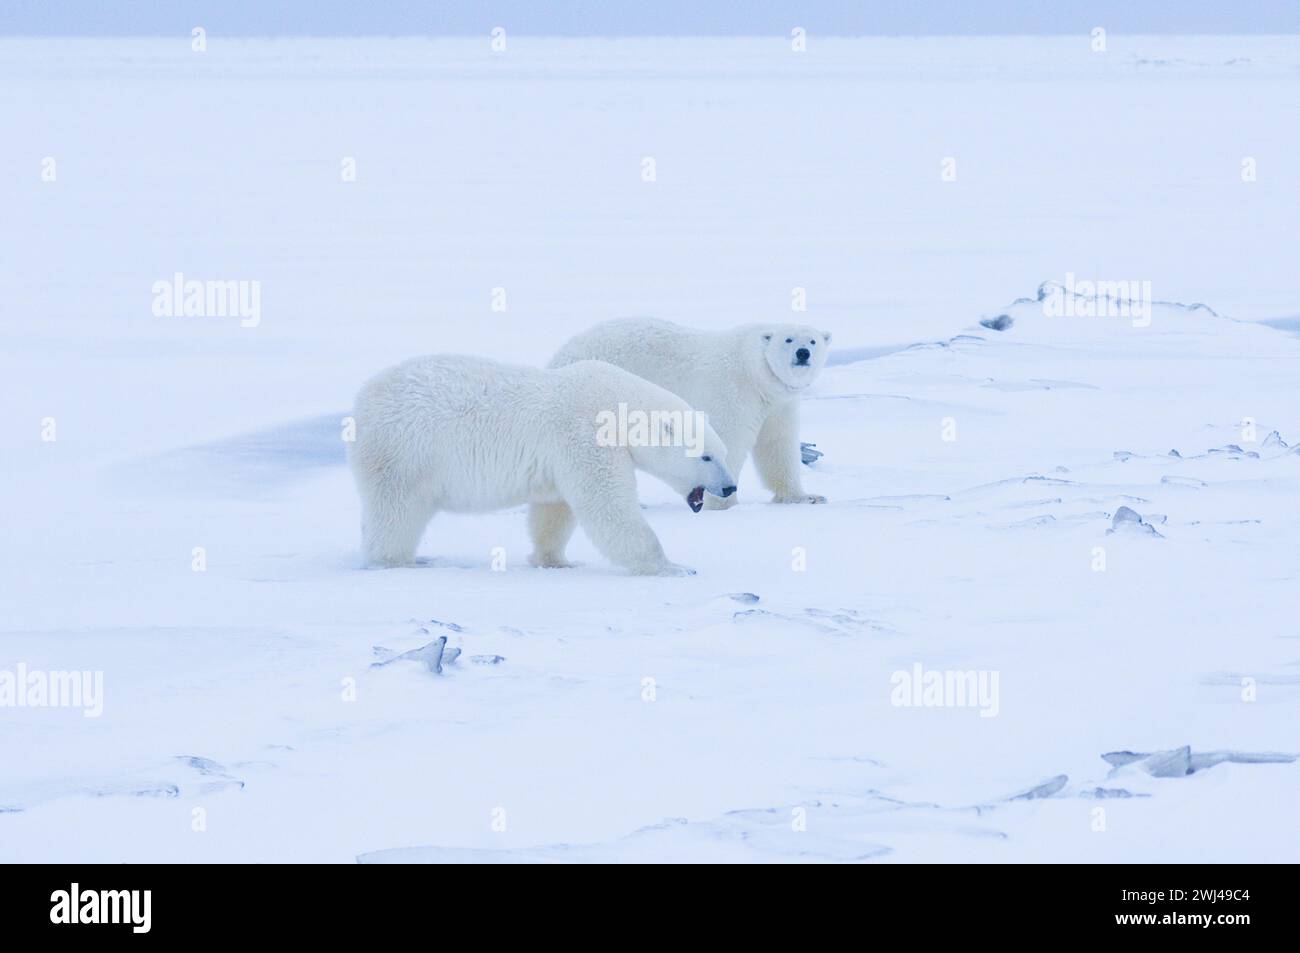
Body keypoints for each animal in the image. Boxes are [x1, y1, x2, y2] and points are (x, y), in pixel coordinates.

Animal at [351, 356, 738, 572]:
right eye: (706, 456)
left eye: (723, 453)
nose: (730, 486)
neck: (614, 405)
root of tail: (364, 400)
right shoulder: (584, 436)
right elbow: (608, 506)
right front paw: (673, 567)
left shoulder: (560, 460)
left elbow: (554, 510)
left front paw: (556, 560)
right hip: (407, 450)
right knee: (397, 511)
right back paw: (397, 560)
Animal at [548, 319, 832, 509]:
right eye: (788, 339)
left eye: (813, 340)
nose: (803, 353)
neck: (756, 373)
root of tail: (558, 356)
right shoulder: (733, 390)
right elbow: (728, 439)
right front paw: (723, 501)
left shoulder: (779, 402)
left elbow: (777, 444)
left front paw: (806, 497)